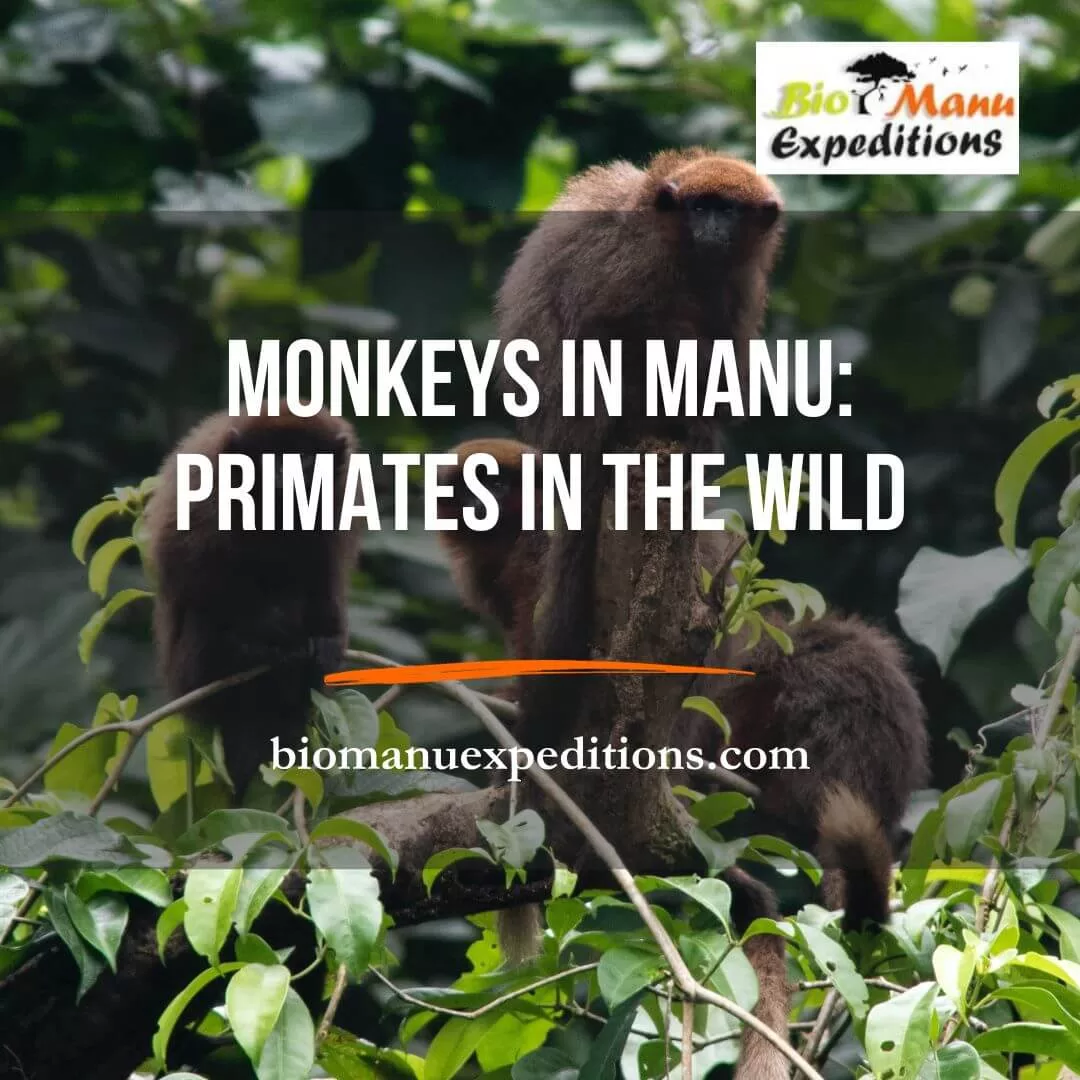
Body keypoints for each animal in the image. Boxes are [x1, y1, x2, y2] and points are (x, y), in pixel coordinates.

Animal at [144, 403, 360, 796]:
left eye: (305, 457)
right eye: (272, 456)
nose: (285, 477)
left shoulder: (342, 490)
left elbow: (326, 571)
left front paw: (327, 641)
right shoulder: (205, 476)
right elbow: (182, 561)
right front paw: (270, 632)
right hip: (188, 671)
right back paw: (248, 651)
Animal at [495, 148, 784, 750]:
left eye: (727, 210)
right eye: (701, 207)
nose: (712, 227)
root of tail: (560, 439)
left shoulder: (744, 283)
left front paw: (701, 424)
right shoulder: (637, 260)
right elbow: (605, 326)